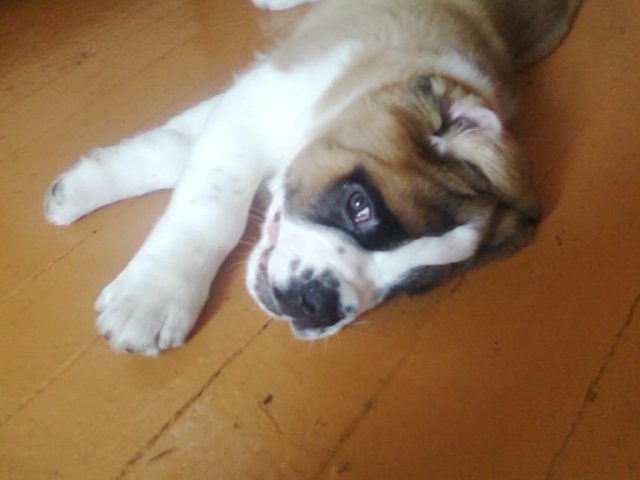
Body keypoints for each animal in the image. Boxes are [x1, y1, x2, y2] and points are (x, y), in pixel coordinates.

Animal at [44, 0, 580, 355]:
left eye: (413, 287)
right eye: (359, 206)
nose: (318, 304)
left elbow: (178, 151)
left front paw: (77, 190)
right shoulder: (258, 100)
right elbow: (212, 206)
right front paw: (153, 296)